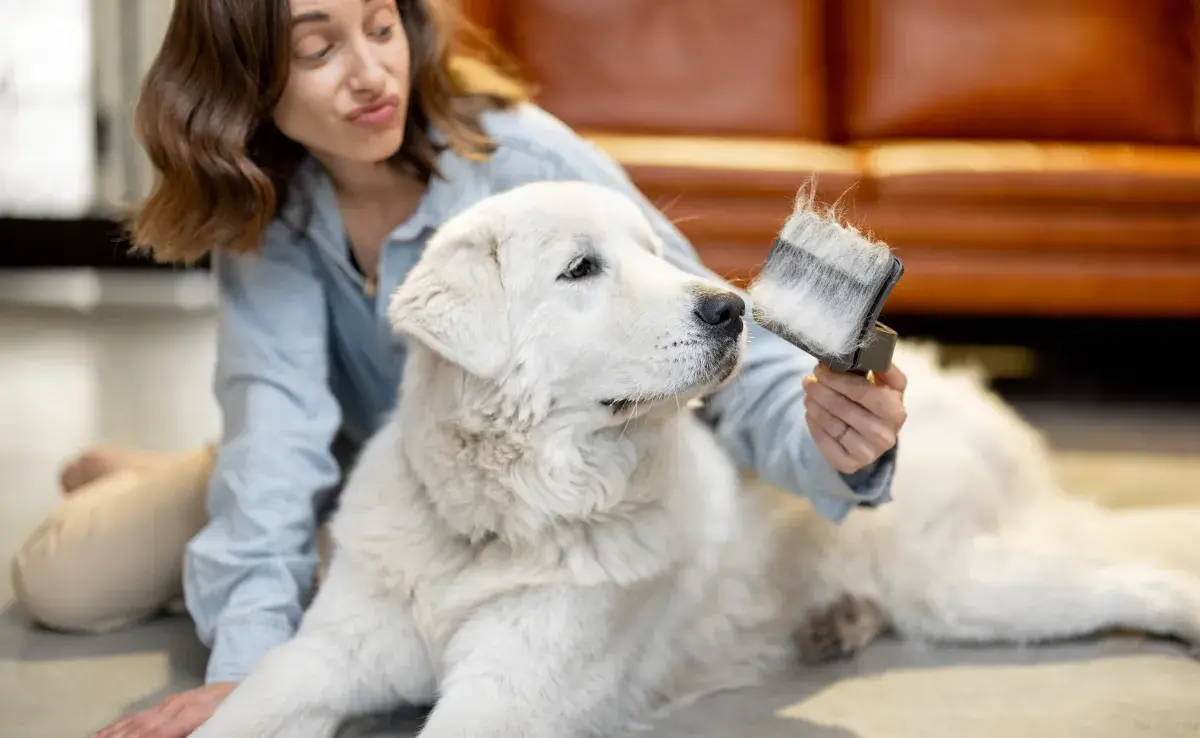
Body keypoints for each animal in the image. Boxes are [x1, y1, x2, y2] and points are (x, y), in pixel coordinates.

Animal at [192, 178, 1200, 738]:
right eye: (581, 269)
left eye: (654, 251)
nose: (731, 307)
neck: (499, 523)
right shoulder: (327, 654)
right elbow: (247, 707)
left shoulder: (508, 692)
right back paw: (835, 623)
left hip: (962, 587)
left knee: (1132, 576)